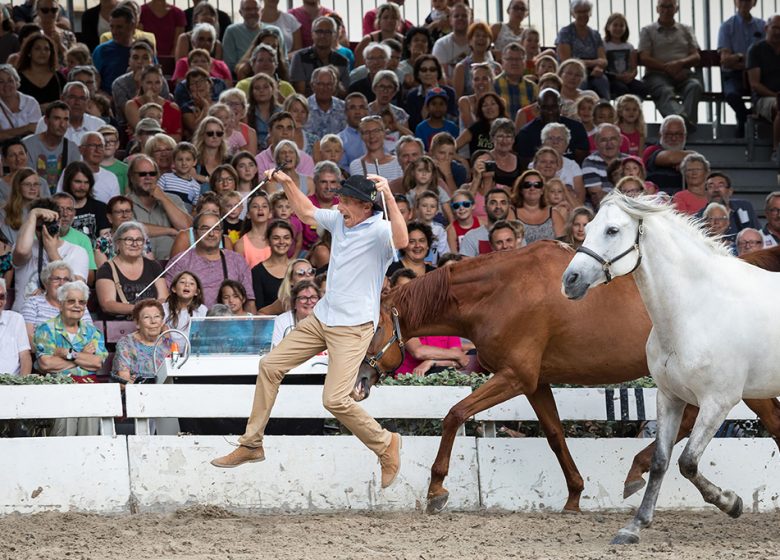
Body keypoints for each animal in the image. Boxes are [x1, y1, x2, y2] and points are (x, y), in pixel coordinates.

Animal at [356, 241, 780, 512]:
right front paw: (574, 496)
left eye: (371, 329)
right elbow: (555, 435)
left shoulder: (514, 376)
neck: (501, 292)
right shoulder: (535, 382)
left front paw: (436, 490)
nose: (358, 381)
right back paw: (639, 468)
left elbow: (454, 414)